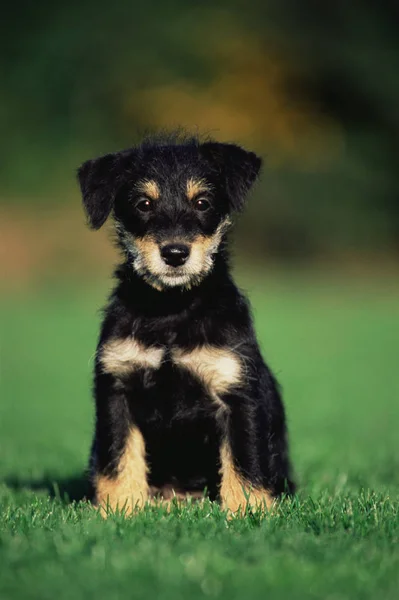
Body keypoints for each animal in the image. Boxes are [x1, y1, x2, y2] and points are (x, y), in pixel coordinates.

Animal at [78, 131, 296, 516]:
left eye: (203, 202)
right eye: (143, 204)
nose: (175, 253)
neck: (172, 310)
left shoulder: (238, 394)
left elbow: (245, 462)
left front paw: (248, 512)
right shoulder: (117, 389)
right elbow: (119, 459)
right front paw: (118, 511)